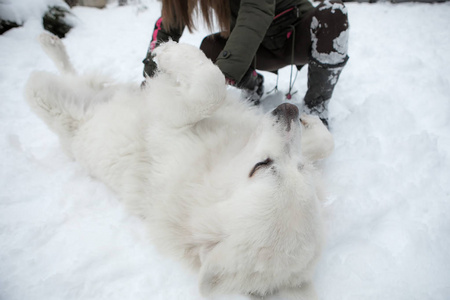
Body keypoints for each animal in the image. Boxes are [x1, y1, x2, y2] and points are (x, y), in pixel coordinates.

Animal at [24, 33, 334, 300]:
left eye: (261, 166)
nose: (290, 110)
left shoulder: (170, 125)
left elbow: (211, 86)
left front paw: (169, 52)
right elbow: (323, 143)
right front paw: (312, 125)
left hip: (51, 99)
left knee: (40, 83)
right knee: (76, 75)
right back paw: (51, 42)